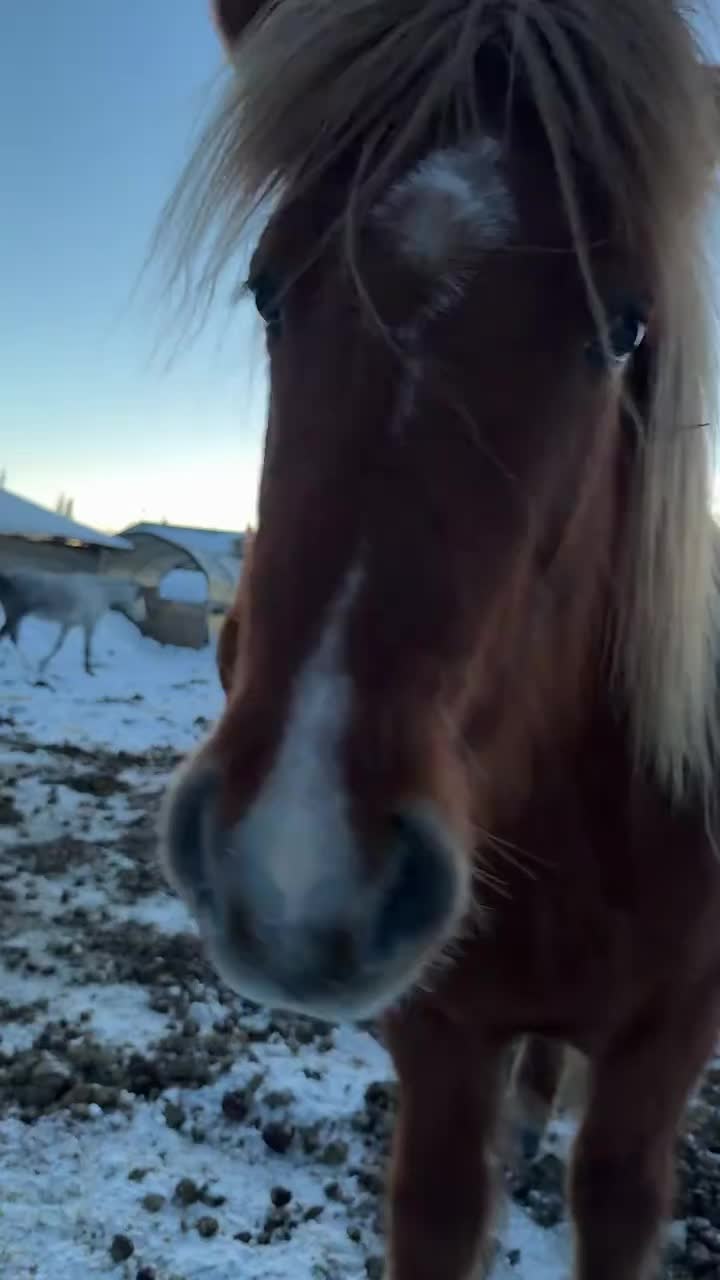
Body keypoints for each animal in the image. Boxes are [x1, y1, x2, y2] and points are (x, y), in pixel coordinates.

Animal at [0, 568, 146, 676]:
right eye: (139, 598)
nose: (142, 618)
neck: (100, 592)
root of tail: (9, 579)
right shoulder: (89, 625)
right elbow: (87, 648)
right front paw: (89, 671)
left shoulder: (68, 624)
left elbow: (58, 645)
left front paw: (43, 664)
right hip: (15, 615)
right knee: (9, 636)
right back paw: (26, 665)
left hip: (16, 617)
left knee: (11, 637)